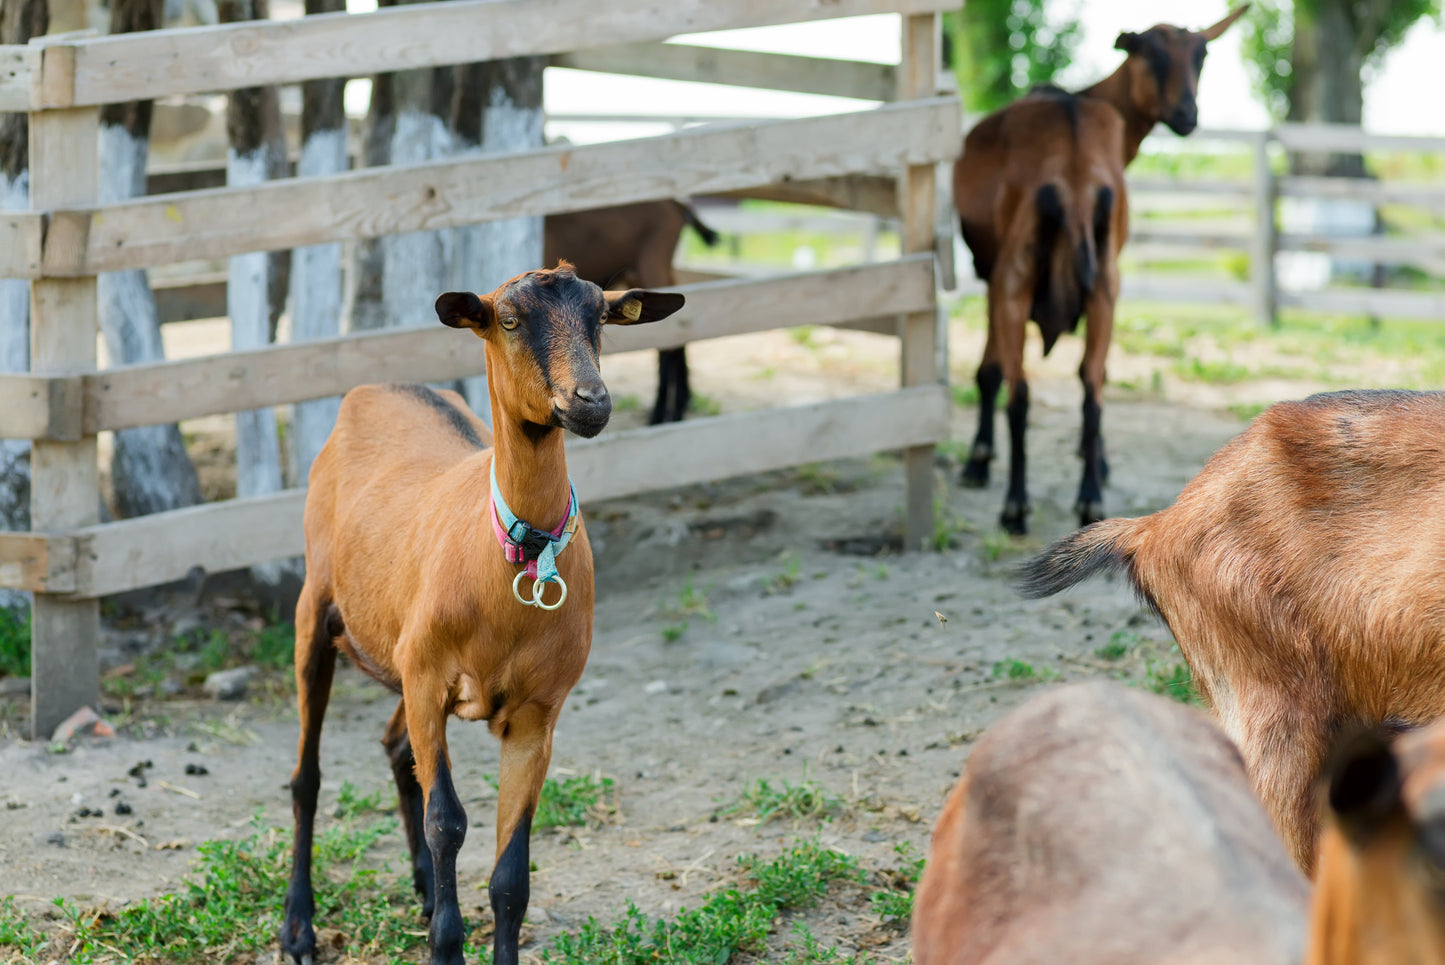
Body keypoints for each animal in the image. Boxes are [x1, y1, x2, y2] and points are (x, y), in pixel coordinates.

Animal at [277, 263, 684, 965]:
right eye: (510, 320)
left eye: (601, 318)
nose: (591, 401)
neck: (513, 558)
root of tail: (382, 385)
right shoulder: (428, 678)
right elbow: (448, 823)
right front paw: (446, 940)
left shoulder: (536, 713)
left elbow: (510, 873)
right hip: (318, 612)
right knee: (309, 777)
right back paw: (299, 927)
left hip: (399, 657)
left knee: (395, 750)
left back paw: (419, 888)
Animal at [954, 6, 1247, 534]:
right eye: (1151, 54)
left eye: (1202, 55)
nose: (1187, 116)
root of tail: (1073, 177)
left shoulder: (993, 275)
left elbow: (992, 371)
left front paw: (978, 460)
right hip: (1098, 284)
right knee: (1086, 383)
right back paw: (1086, 498)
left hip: (1017, 280)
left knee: (1027, 389)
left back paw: (1018, 506)